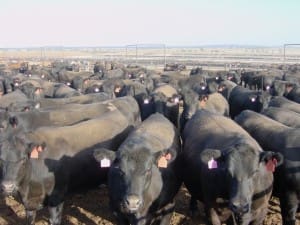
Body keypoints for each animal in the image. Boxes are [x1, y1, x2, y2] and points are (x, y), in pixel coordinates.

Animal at [0, 96, 141, 225]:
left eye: (23, 159)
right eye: (0, 160)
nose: (7, 186)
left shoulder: (57, 197)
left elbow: (54, 220)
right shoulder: (29, 204)